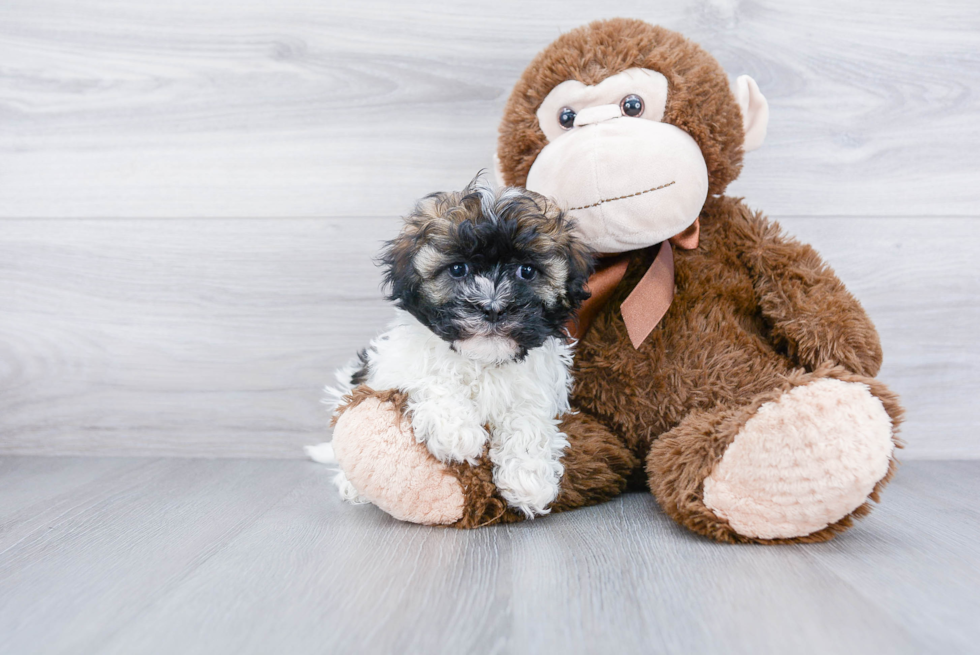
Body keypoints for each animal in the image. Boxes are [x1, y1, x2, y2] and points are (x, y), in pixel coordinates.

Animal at [316, 178, 588, 516]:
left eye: (526, 271)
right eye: (458, 270)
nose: (493, 308)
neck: (482, 360)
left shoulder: (538, 387)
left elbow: (529, 416)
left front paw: (529, 479)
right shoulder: (394, 365)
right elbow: (430, 378)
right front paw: (457, 433)